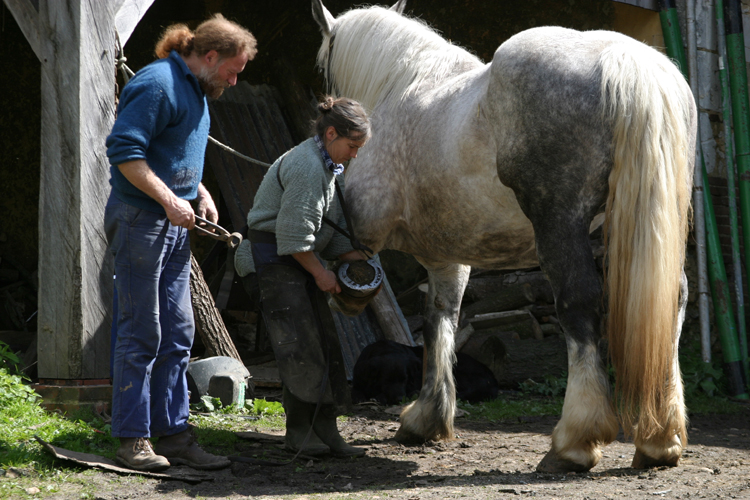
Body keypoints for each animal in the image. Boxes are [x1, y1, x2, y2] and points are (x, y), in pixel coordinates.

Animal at [312, 0, 700, 472]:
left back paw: (574, 442)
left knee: (578, 305)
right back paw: (660, 439)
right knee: (671, 300)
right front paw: (427, 418)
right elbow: (440, 319)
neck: (401, 85)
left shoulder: (370, 225)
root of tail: (626, 61)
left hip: (560, 226)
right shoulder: (448, 256)